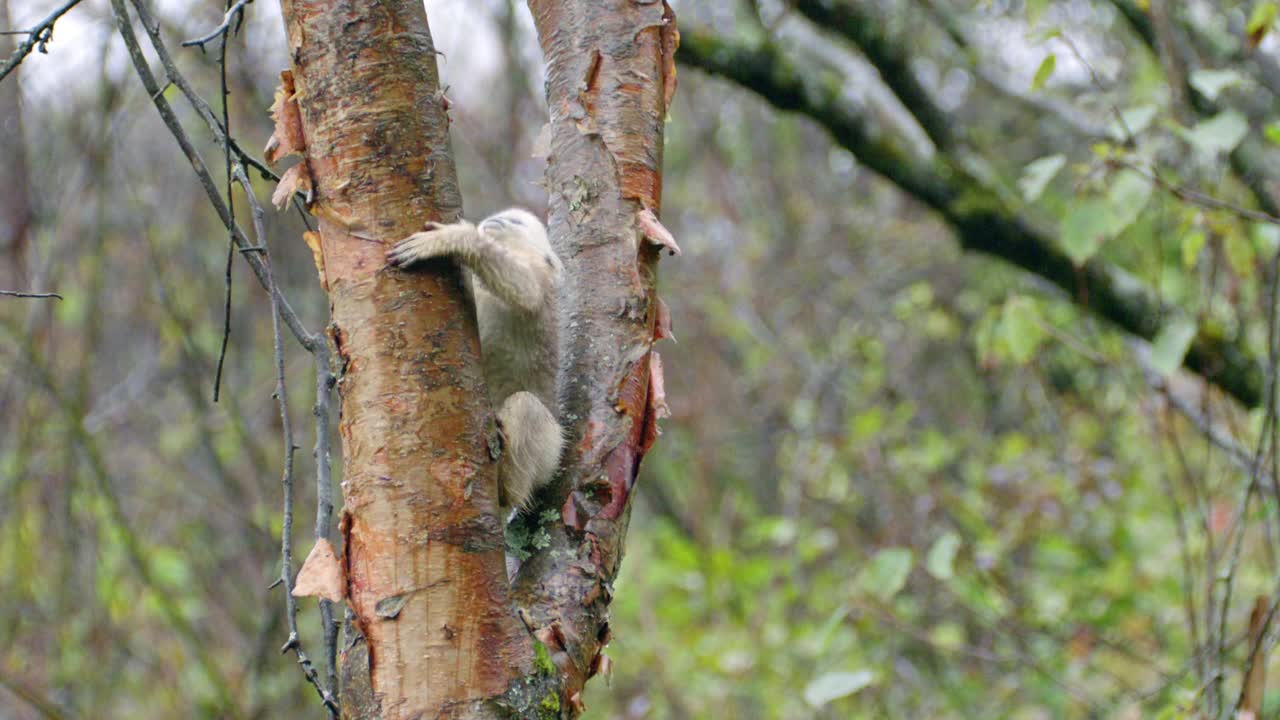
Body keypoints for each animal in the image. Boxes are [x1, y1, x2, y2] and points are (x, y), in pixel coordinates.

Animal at [384, 207, 565, 509]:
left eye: (515, 221)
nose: (494, 220)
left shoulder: (540, 277)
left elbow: (525, 290)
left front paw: (455, 239)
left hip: (549, 454)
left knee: (527, 406)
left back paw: (506, 480)